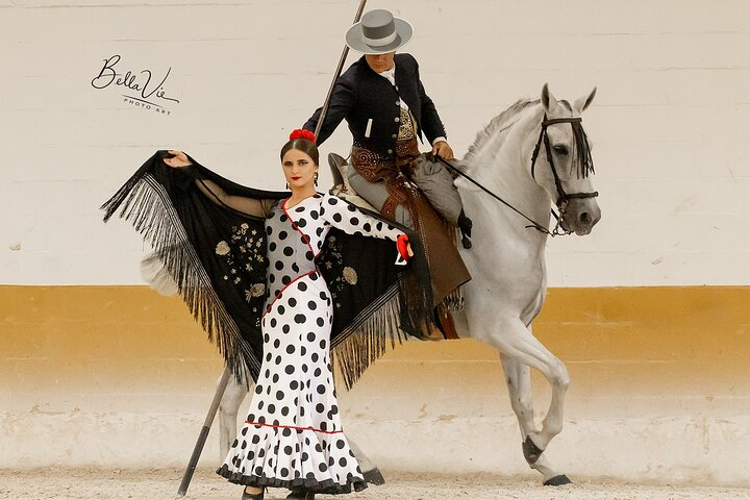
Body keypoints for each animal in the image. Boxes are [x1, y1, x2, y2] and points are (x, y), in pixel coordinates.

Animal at [216, 85, 600, 488]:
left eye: (587, 147)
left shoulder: (519, 327)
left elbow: (522, 400)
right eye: (561, 148)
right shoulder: (499, 328)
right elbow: (560, 374)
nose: (587, 216)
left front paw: (541, 460)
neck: (498, 222)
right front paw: (539, 444)